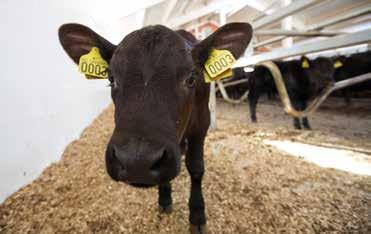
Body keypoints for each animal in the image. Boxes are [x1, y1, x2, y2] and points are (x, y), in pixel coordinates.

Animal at [58, 22, 253, 234]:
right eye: (111, 78)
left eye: (191, 78)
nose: (137, 162)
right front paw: (165, 198)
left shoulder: (202, 124)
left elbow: (196, 168)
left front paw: (197, 214)